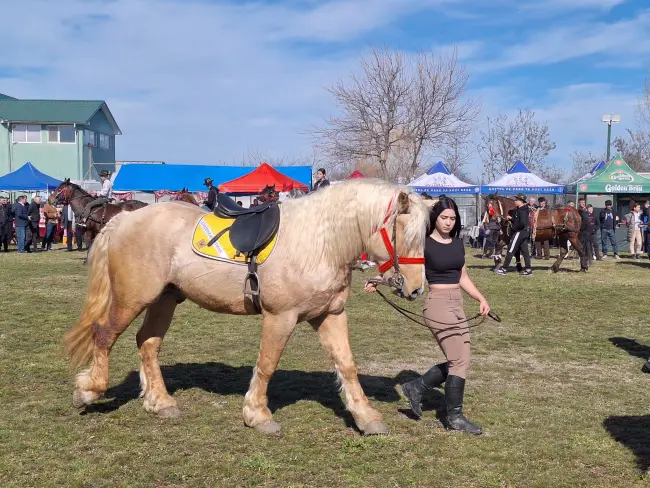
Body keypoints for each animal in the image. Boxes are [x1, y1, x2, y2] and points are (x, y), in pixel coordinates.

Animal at [64, 178, 430, 434]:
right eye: (403, 232)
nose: (415, 289)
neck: (319, 243)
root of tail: (124, 220)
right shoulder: (280, 317)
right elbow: (267, 364)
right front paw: (258, 415)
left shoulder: (330, 314)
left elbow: (347, 365)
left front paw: (365, 416)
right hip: (132, 298)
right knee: (103, 335)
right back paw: (90, 390)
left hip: (164, 299)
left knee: (148, 344)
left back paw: (160, 402)